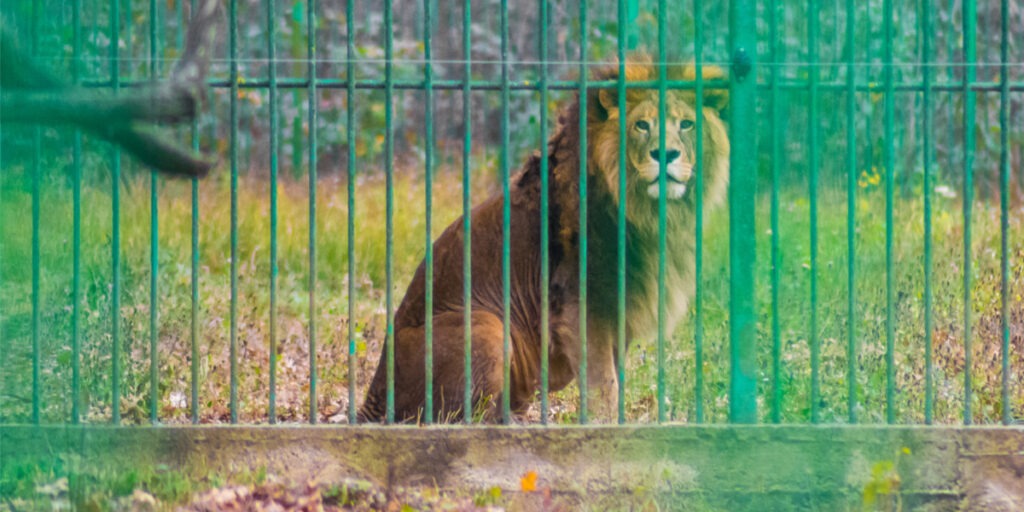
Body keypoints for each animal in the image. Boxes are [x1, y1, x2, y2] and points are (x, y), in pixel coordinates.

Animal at [360, 57, 729, 423]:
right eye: (641, 125)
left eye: (686, 125)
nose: (666, 154)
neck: (645, 211)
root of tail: (373, 394)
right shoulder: (581, 306)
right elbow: (604, 383)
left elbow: (617, 378)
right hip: (486, 326)